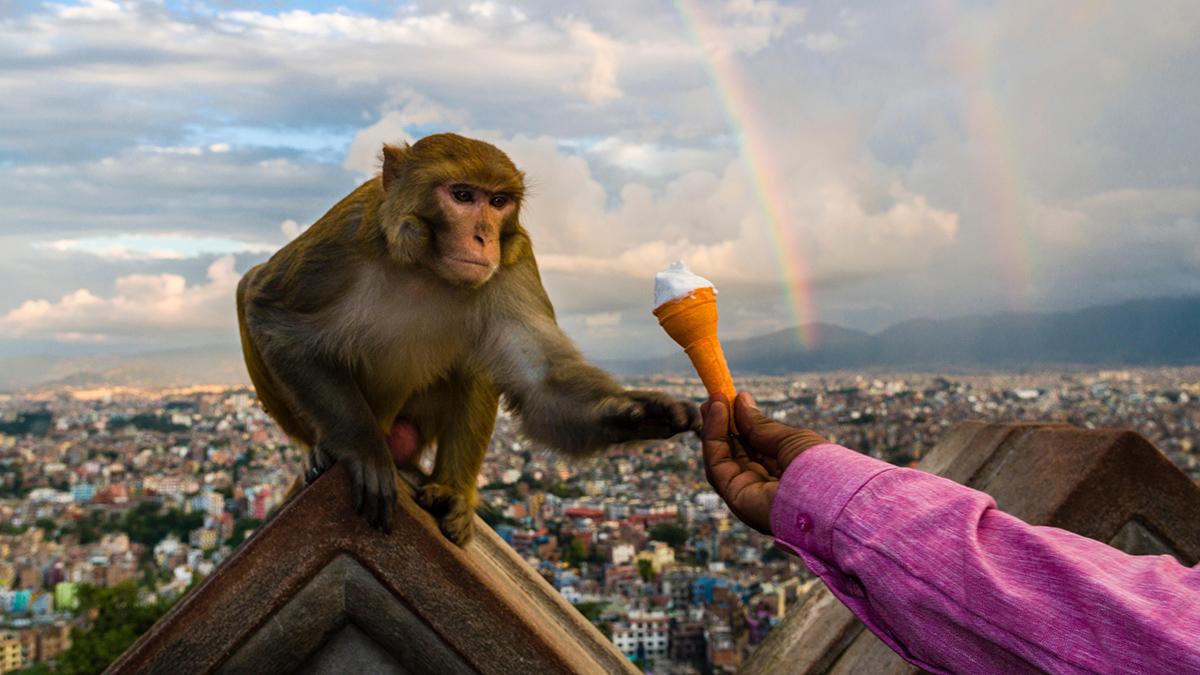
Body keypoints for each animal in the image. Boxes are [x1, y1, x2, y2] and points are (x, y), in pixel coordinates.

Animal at [236, 133, 699, 545]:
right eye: (461, 195)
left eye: (497, 202)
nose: (483, 236)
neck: (426, 267)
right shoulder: (343, 238)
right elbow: (273, 315)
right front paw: (361, 447)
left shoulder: (515, 261)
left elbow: (541, 383)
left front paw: (636, 412)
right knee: (247, 290)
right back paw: (321, 451)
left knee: (477, 366)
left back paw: (452, 493)